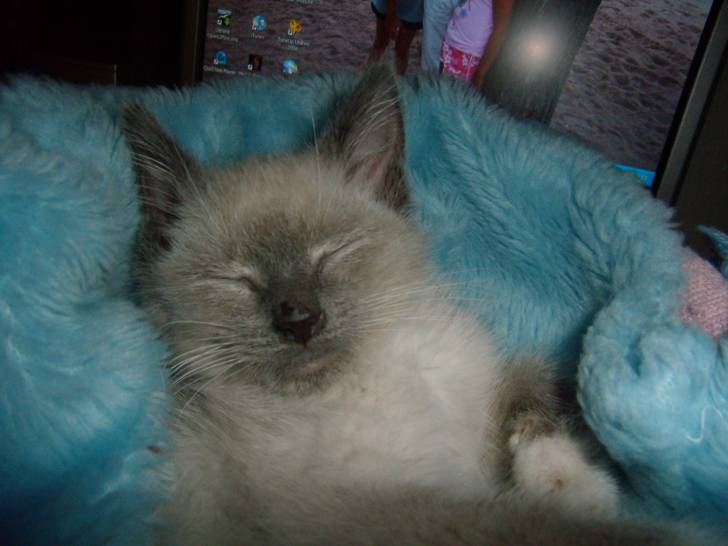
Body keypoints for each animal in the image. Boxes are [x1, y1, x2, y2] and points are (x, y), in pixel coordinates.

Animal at [121, 64, 694, 545]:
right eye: (238, 279)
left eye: (332, 253)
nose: (299, 320)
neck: (369, 377)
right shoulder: (376, 514)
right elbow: (530, 526)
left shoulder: (482, 382)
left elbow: (534, 384)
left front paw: (567, 482)